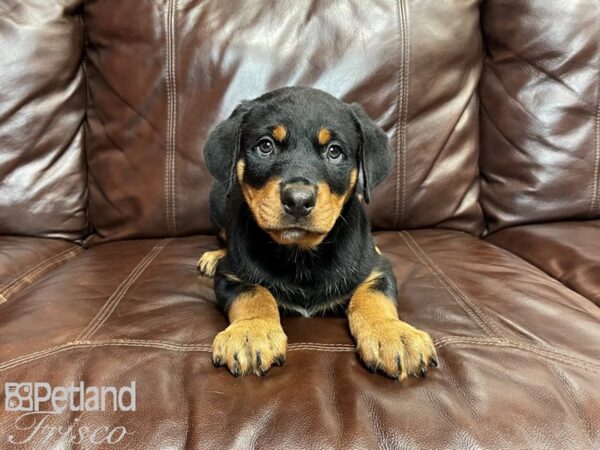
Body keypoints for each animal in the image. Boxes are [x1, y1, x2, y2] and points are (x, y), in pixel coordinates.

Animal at [199, 85, 438, 380]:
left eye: (334, 152)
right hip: (217, 200)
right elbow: (255, 293)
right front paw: (250, 333)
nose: (298, 200)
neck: (301, 255)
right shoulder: (231, 273)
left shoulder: (377, 269)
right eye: (265, 146)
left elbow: (374, 297)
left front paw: (394, 334)